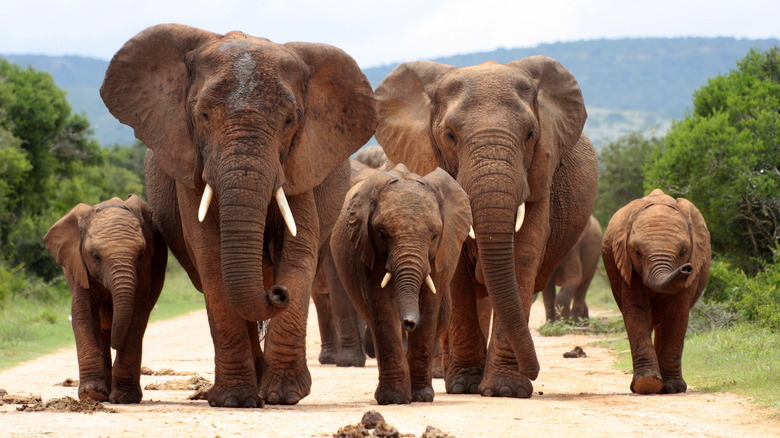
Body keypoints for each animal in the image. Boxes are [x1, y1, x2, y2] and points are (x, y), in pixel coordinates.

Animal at [44, 195, 168, 404]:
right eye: (96, 256)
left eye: (141, 255)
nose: (114, 343)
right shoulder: (78, 265)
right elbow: (83, 314)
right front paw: (90, 394)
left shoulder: (148, 269)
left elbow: (136, 317)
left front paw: (125, 398)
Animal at [100, 23, 378, 408]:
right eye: (202, 115)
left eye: (291, 120)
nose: (277, 293)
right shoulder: (190, 163)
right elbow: (211, 256)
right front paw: (234, 400)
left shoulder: (301, 162)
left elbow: (298, 250)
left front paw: (285, 396)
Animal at [330, 163, 470, 404]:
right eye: (382, 234)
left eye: (435, 235)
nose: (408, 322)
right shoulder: (367, 248)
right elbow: (383, 307)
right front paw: (393, 399)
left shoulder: (442, 252)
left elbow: (429, 307)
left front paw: (421, 397)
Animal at [372, 57, 596, 396]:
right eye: (450, 135)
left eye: (531, 134)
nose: (535, 371)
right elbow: (455, 273)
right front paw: (465, 385)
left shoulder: (539, 176)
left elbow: (522, 256)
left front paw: (507, 390)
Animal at [604, 188, 712, 394]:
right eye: (637, 252)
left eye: (683, 251)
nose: (686, 269)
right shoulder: (627, 268)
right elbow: (637, 310)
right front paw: (646, 384)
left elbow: (676, 314)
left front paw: (674, 388)